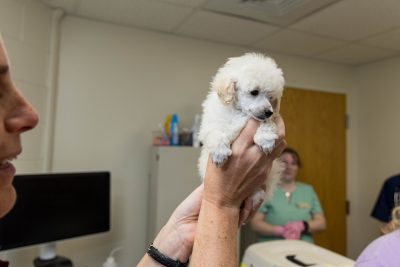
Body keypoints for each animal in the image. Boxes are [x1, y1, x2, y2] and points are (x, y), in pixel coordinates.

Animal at [197, 51, 284, 203]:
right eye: (254, 92)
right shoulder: (210, 125)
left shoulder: (269, 119)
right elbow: (215, 133)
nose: (269, 111)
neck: (240, 112)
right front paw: (220, 153)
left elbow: (267, 123)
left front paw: (265, 139)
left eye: (271, 97)